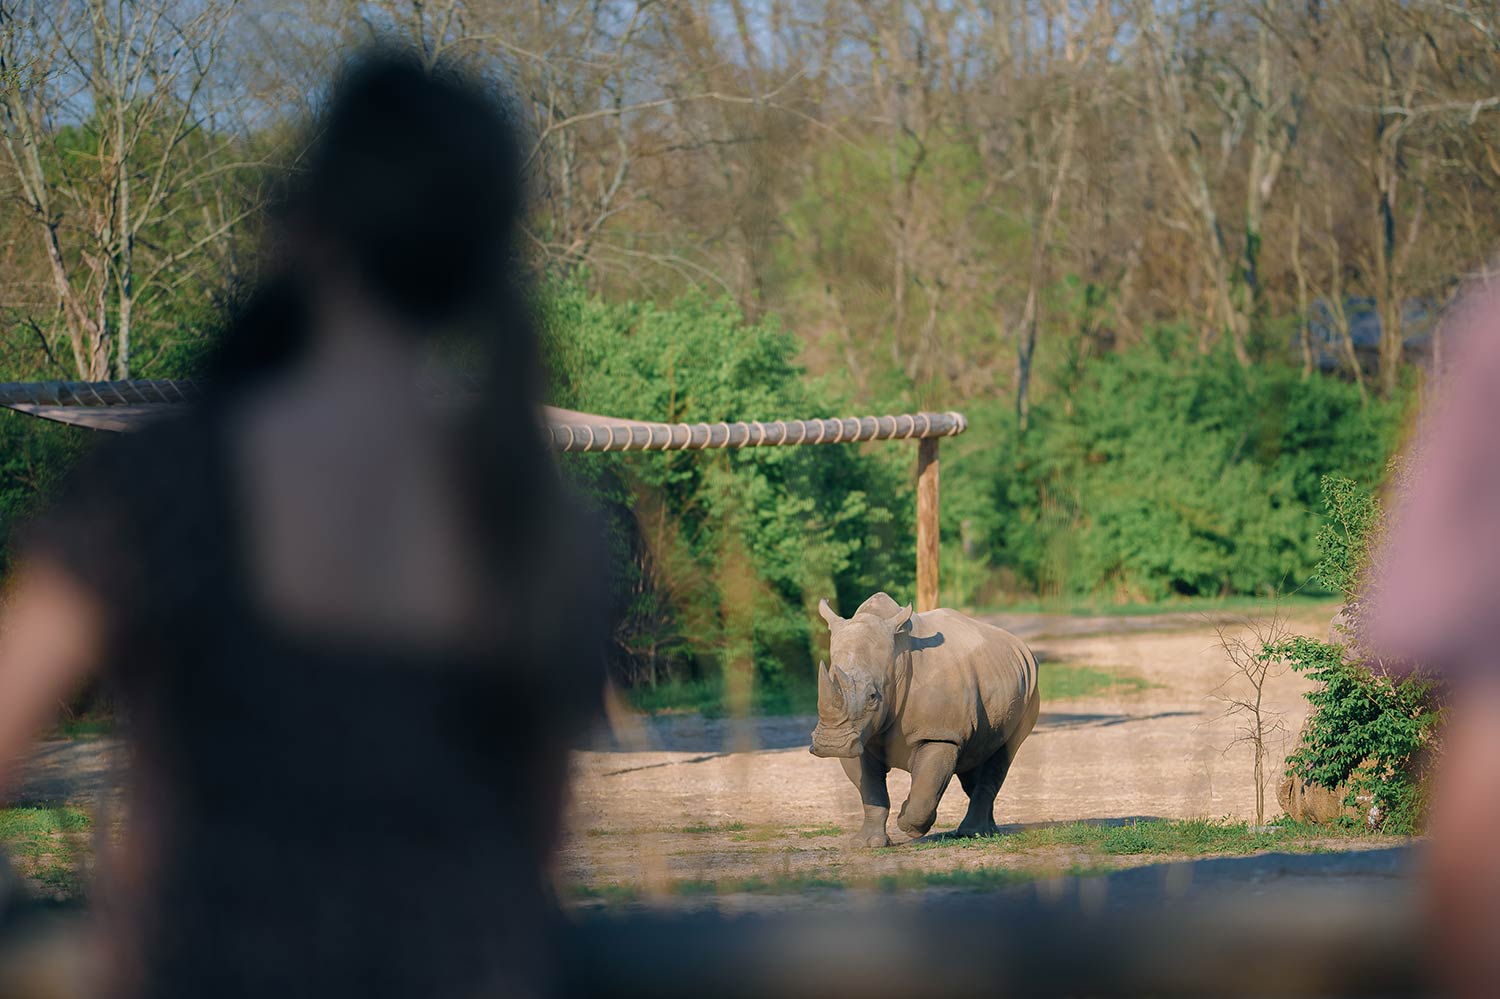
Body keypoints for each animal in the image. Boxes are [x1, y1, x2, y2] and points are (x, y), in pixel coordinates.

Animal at [810, 592, 1040, 847]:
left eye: (873, 697)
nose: (832, 744)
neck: (897, 660)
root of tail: (1022, 646)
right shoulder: (859, 735)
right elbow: (870, 791)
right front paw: (867, 843)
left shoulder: (940, 734)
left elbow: (926, 790)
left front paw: (906, 820)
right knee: (976, 755)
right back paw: (986, 831)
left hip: (1031, 690)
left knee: (1003, 752)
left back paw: (973, 833)